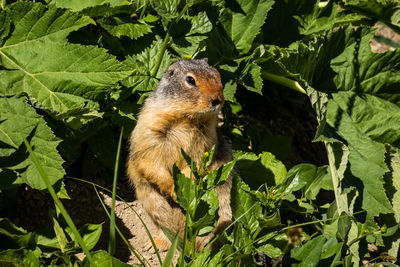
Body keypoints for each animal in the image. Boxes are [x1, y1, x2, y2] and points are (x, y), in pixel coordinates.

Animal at [126, 59, 233, 253]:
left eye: (218, 75)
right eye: (190, 80)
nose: (217, 100)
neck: (186, 118)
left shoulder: (206, 141)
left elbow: (197, 163)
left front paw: (187, 185)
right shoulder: (150, 126)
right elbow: (150, 162)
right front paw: (175, 190)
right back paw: (153, 245)